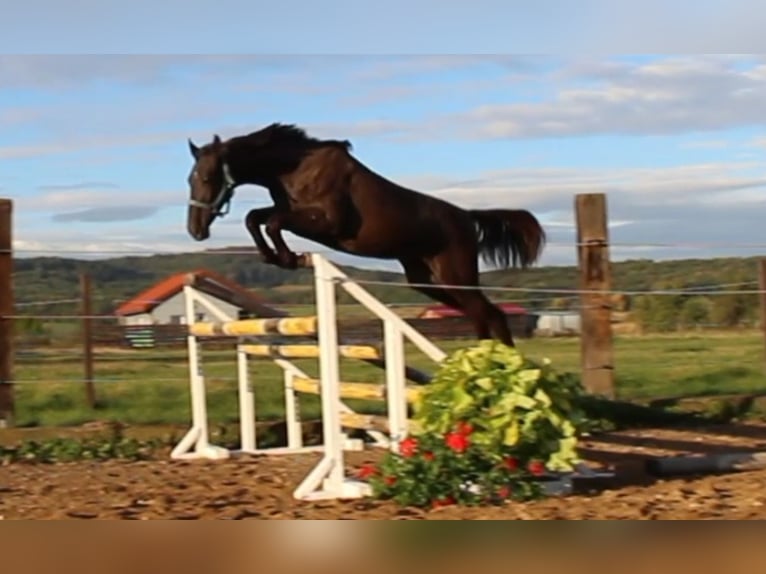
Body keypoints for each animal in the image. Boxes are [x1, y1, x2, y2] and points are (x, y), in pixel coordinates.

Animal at [186, 123, 544, 346]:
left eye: (206, 177)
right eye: (190, 179)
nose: (195, 230)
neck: (295, 169)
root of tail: (467, 218)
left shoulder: (326, 224)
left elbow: (273, 222)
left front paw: (288, 258)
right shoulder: (290, 212)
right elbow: (255, 218)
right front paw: (273, 257)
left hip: (455, 275)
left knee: (488, 314)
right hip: (426, 281)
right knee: (481, 313)